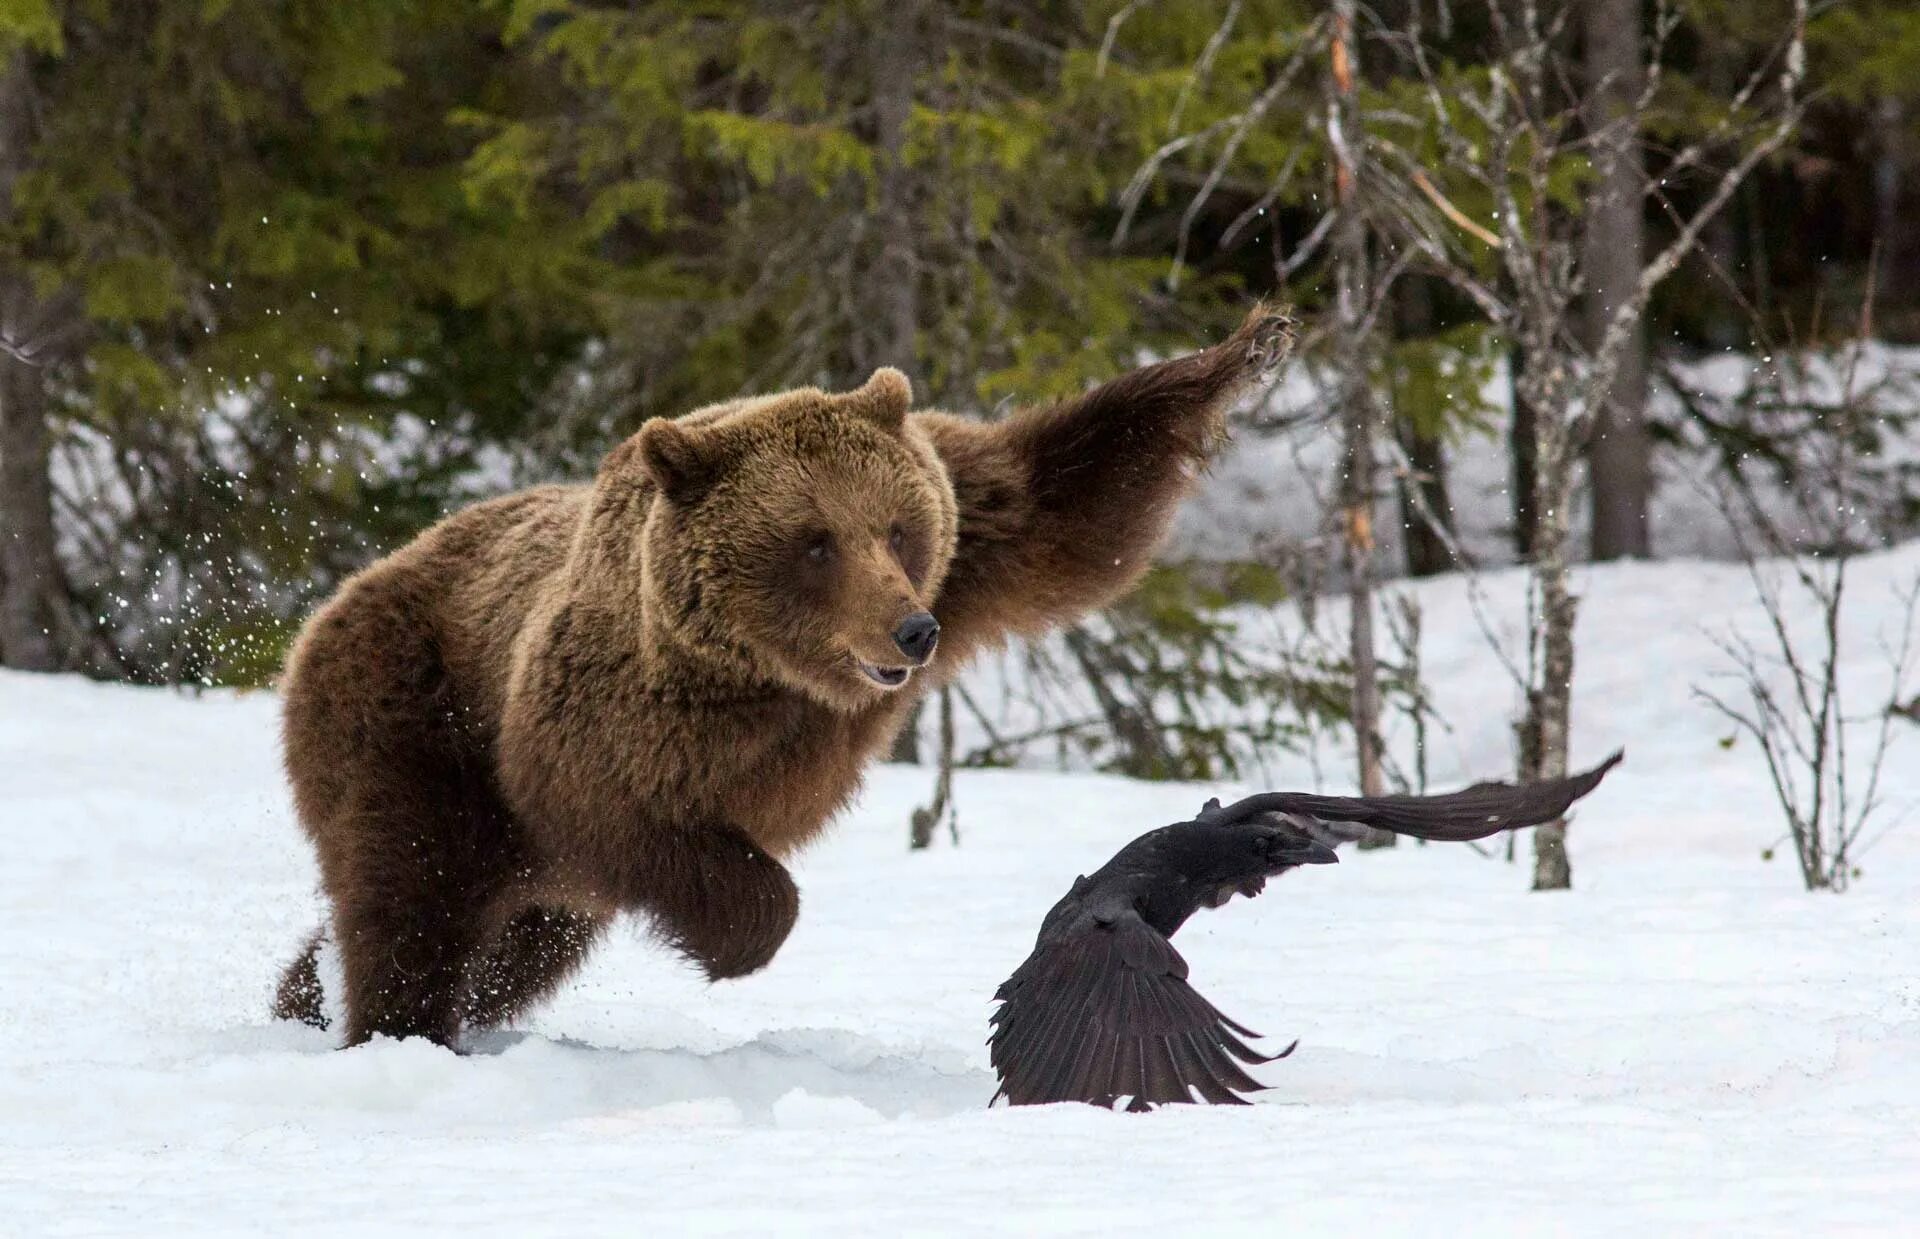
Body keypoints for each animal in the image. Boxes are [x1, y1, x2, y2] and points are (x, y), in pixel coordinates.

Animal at [274, 307, 1290, 1044]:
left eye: (896, 527)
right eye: (813, 540)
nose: (913, 629)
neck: (782, 675)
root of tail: (340, 598)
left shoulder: (970, 540)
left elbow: (1063, 500)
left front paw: (1253, 347)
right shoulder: (618, 703)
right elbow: (606, 799)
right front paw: (739, 937)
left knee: (507, 944)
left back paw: (306, 991)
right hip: (412, 715)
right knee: (413, 903)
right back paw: (390, 1025)